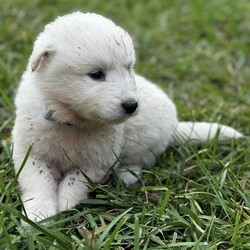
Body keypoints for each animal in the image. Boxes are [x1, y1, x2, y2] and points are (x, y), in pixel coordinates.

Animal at [11, 11, 242, 225]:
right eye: (96, 74)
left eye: (129, 68)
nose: (132, 105)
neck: (71, 121)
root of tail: (175, 126)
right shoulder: (30, 153)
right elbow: (38, 182)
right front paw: (39, 215)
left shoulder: (97, 162)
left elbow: (74, 184)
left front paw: (64, 205)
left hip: (147, 140)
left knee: (143, 158)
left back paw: (127, 174)